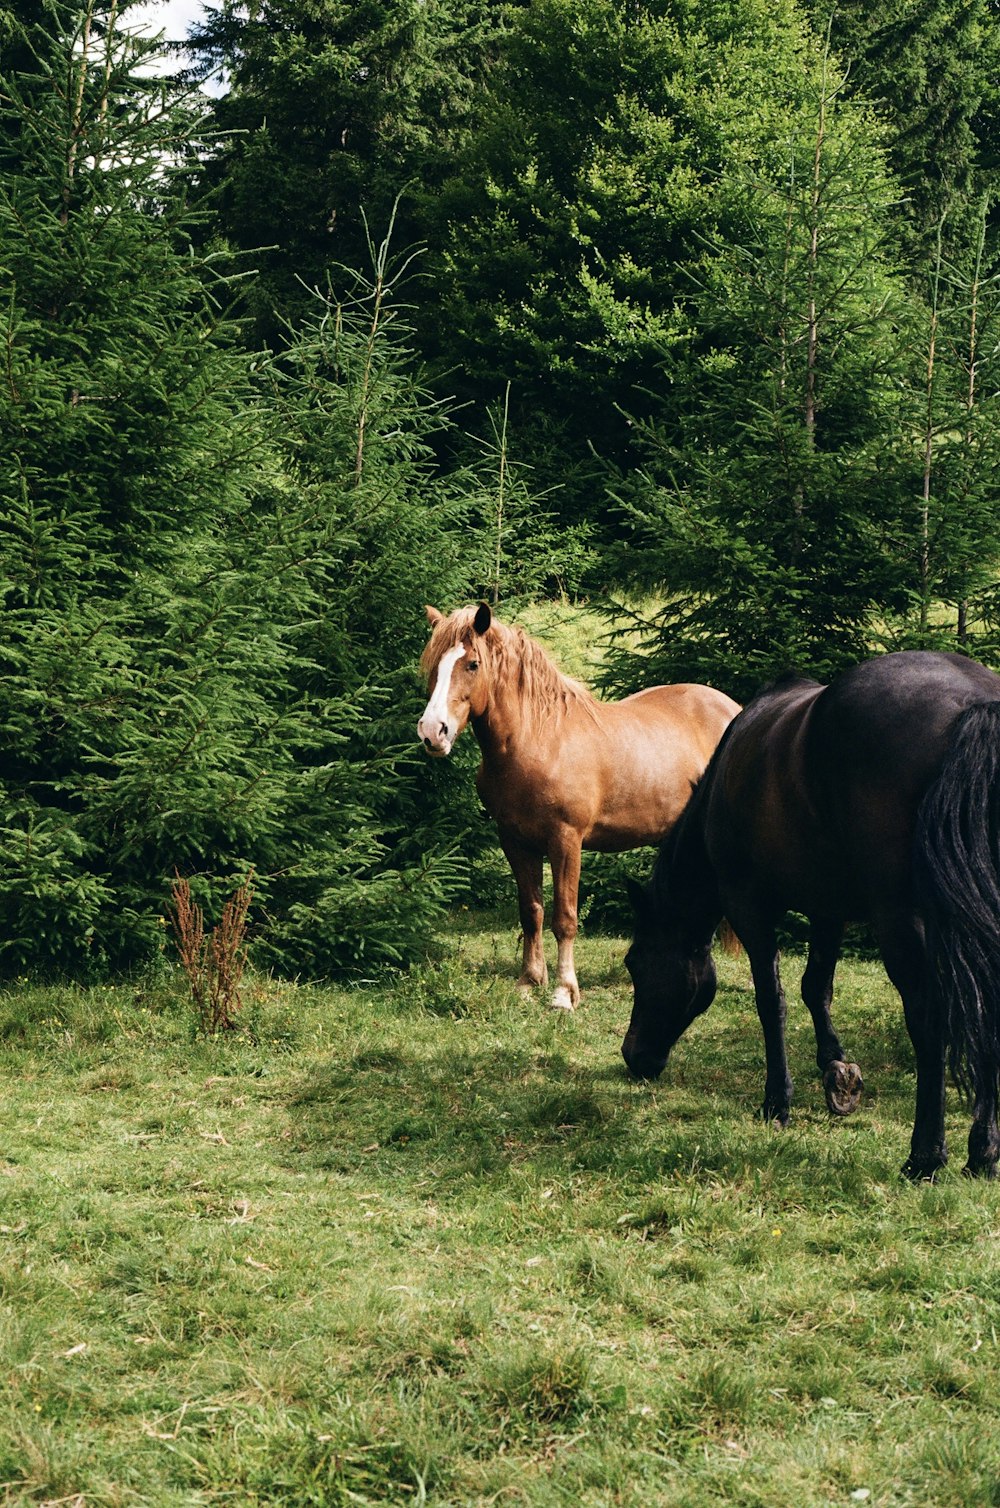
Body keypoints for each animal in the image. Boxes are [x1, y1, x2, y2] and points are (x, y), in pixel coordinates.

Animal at [419, 600, 739, 1013]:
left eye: (472, 663)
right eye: (433, 663)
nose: (432, 732)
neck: (538, 739)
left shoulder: (566, 841)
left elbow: (565, 918)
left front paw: (563, 992)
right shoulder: (515, 843)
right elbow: (531, 912)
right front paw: (528, 982)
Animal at [621, 648, 1000, 1176]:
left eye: (635, 963)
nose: (633, 1056)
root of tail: (974, 706)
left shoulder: (749, 905)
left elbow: (772, 1000)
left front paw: (777, 1102)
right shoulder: (828, 909)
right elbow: (815, 987)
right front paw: (836, 1072)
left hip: (903, 921)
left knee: (929, 1021)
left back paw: (925, 1156)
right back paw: (983, 1151)